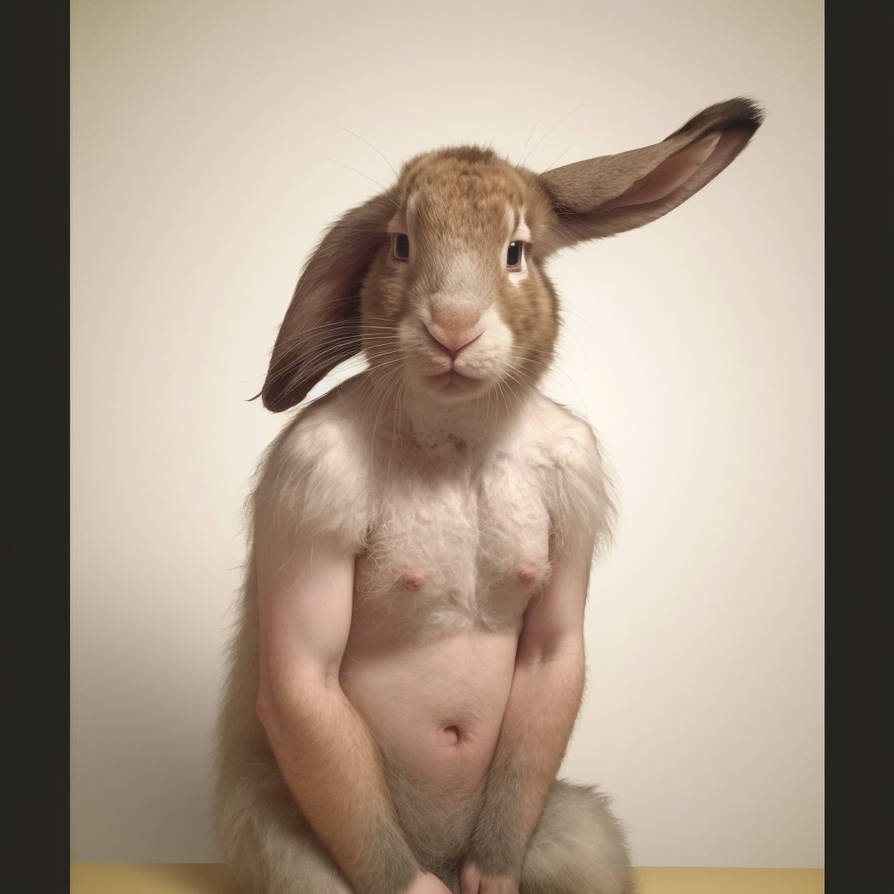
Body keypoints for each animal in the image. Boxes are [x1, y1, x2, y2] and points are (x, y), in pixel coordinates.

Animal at [214, 98, 763, 894]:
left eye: (516, 252)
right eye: (401, 244)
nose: (453, 326)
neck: (455, 442)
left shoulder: (575, 491)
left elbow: (552, 654)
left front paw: (490, 877)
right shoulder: (310, 482)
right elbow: (302, 679)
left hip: (578, 837)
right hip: (294, 855)